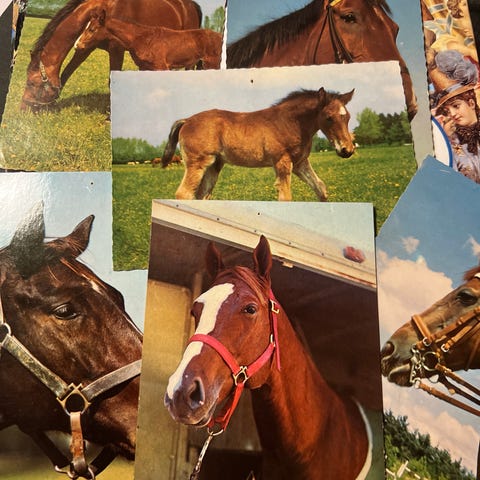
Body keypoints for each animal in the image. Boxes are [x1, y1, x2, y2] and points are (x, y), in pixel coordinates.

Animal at [20, 0, 202, 111]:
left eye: (32, 83)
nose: (23, 108)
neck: (107, 7)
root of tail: (191, 5)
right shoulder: (84, 47)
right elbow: (66, 73)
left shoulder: (116, 50)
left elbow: (110, 81)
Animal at [74, 8, 222, 70]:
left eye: (92, 29)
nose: (77, 45)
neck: (141, 39)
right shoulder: (144, 67)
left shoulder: (161, 67)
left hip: (212, 63)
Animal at [161, 87, 355, 201]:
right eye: (329, 117)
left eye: (348, 116)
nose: (347, 150)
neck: (291, 122)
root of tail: (186, 120)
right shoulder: (282, 162)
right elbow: (286, 197)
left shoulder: (300, 163)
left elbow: (320, 188)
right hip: (197, 164)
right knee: (183, 194)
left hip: (214, 166)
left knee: (201, 195)